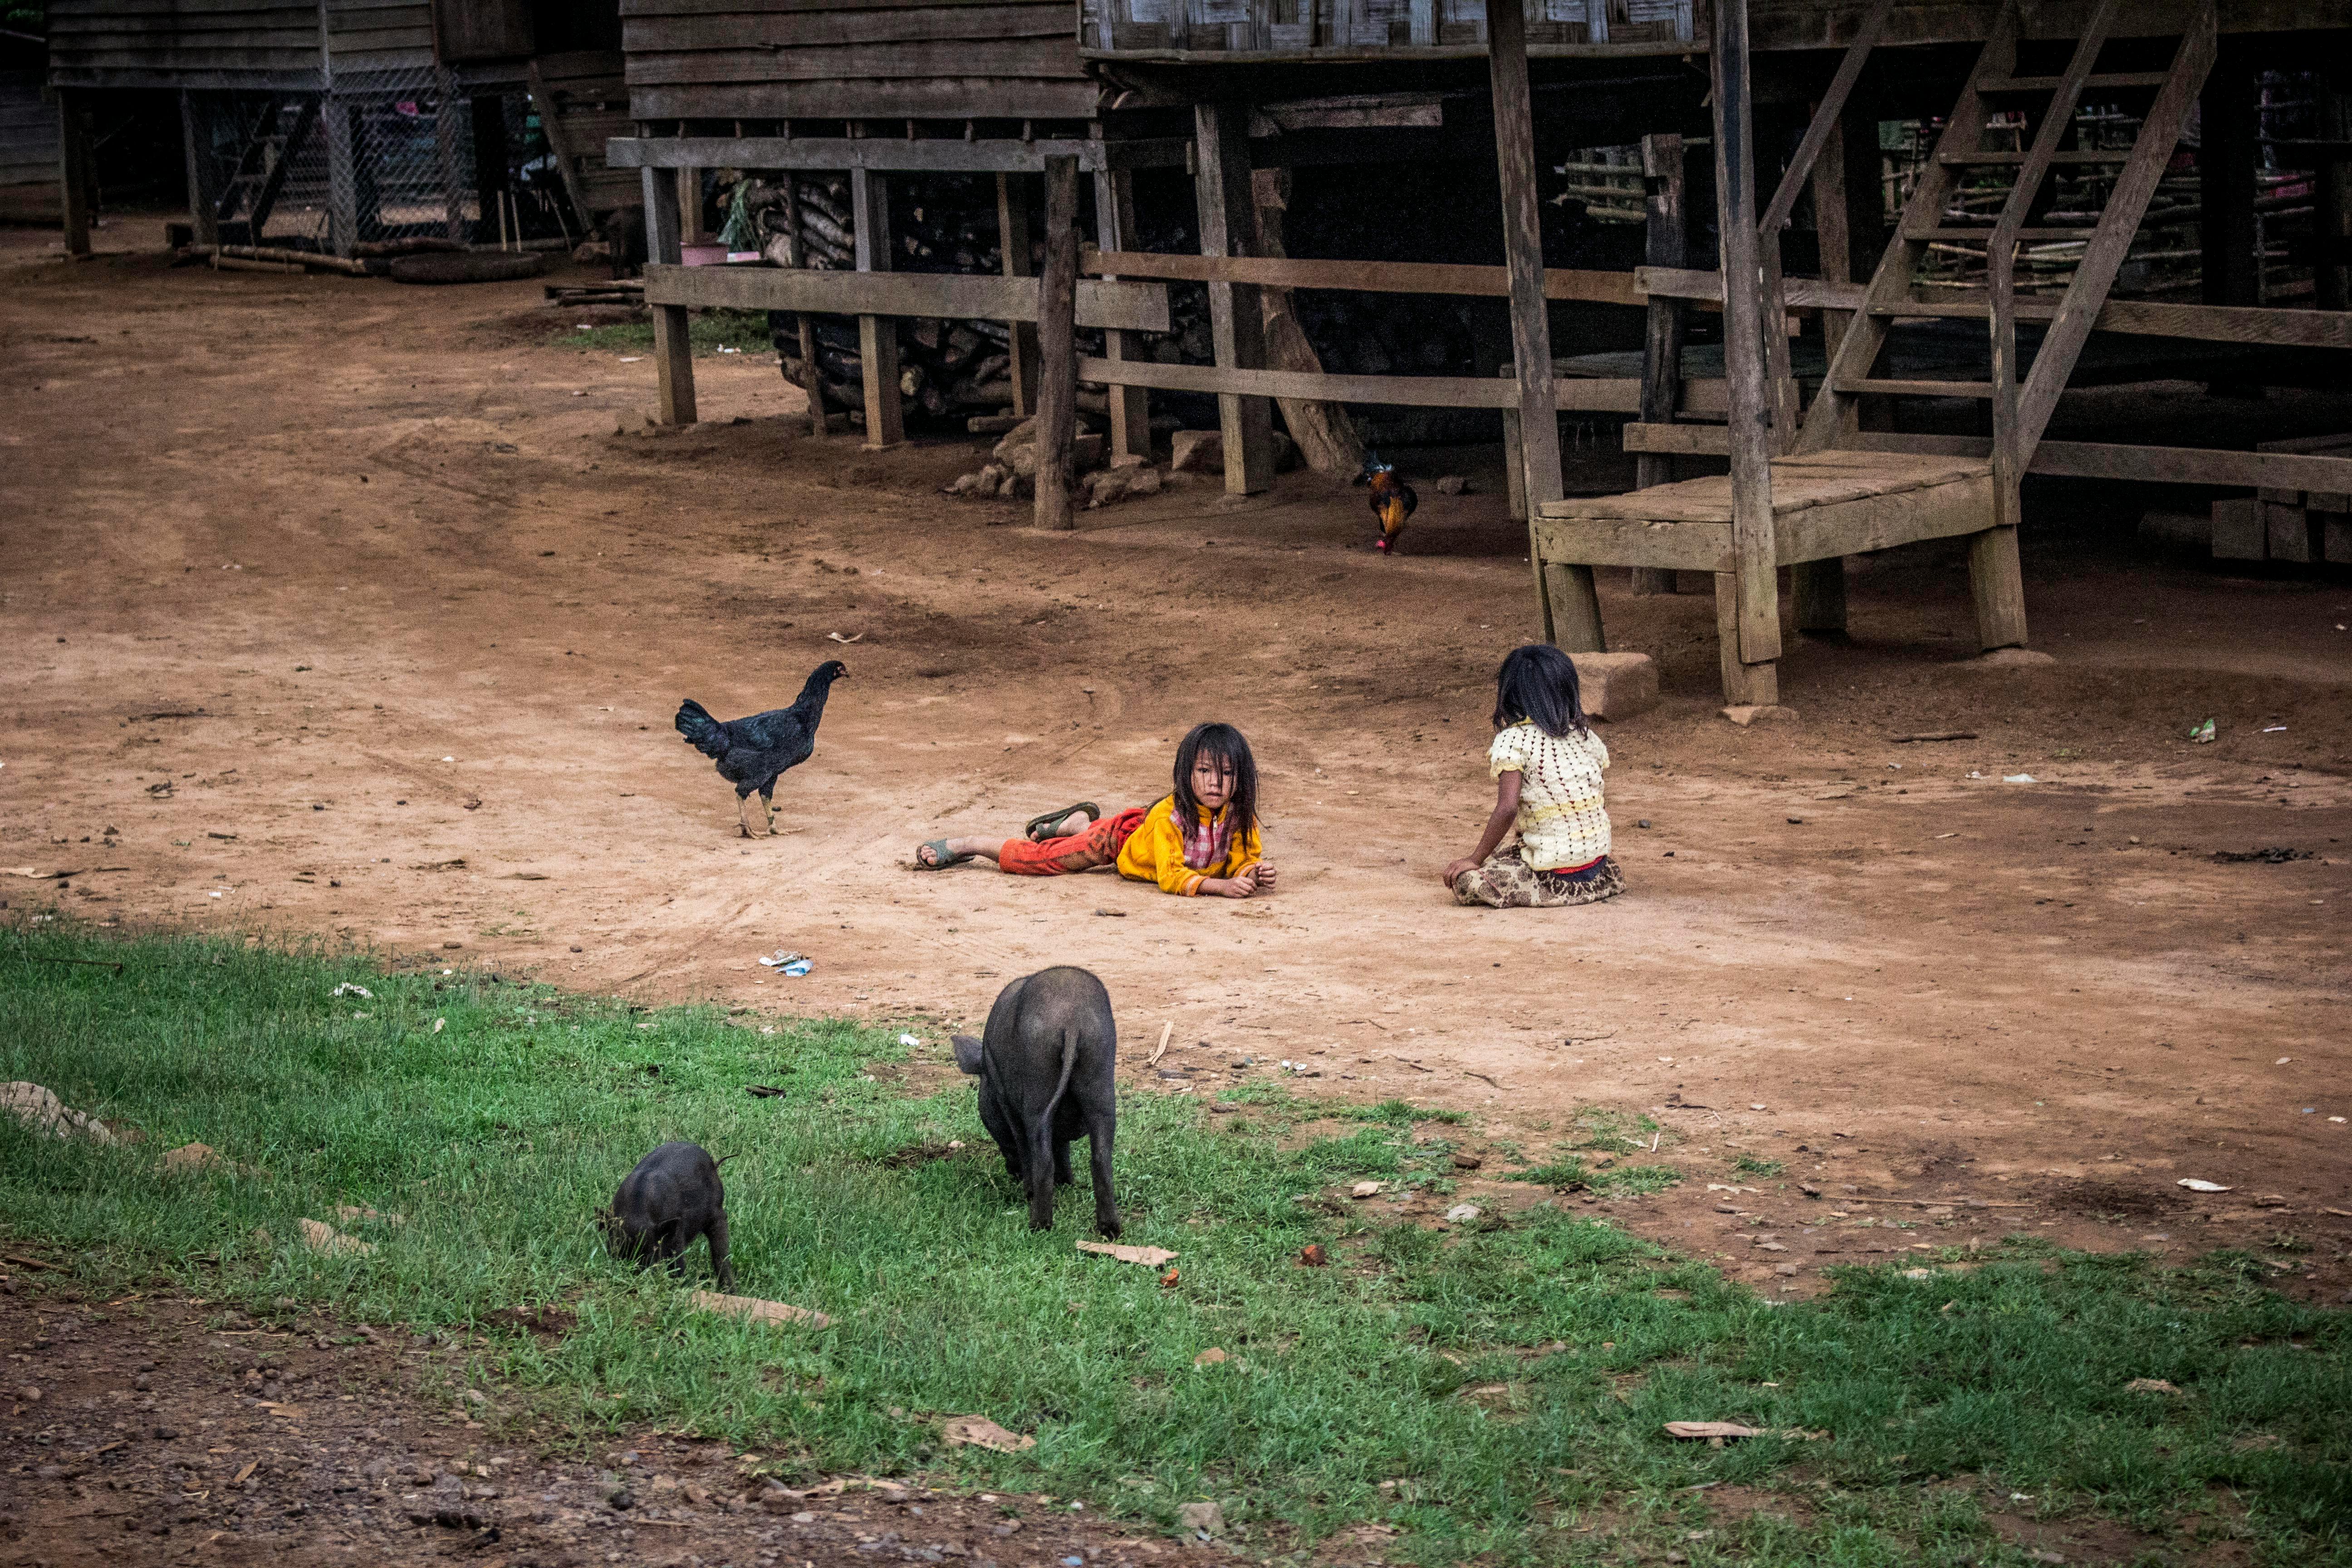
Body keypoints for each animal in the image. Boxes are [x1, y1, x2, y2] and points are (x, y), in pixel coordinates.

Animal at [597, 1142, 734, 1288]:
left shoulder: (677, 1233)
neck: (637, 1214)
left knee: (721, 1253)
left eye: (651, 1253)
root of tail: (712, 1163)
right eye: (615, 1252)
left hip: (717, 1213)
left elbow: (678, 1263)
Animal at [950, 968, 1124, 1241]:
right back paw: (1110, 1232)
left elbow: (1024, 1144)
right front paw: (1067, 1184)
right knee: (1101, 1157)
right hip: (1100, 1079)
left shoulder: (1006, 1100)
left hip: (1038, 1088)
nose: (1012, 1173)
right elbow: (1062, 1145)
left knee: (1042, 1155)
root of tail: (1073, 1020)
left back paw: (1038, 1225)